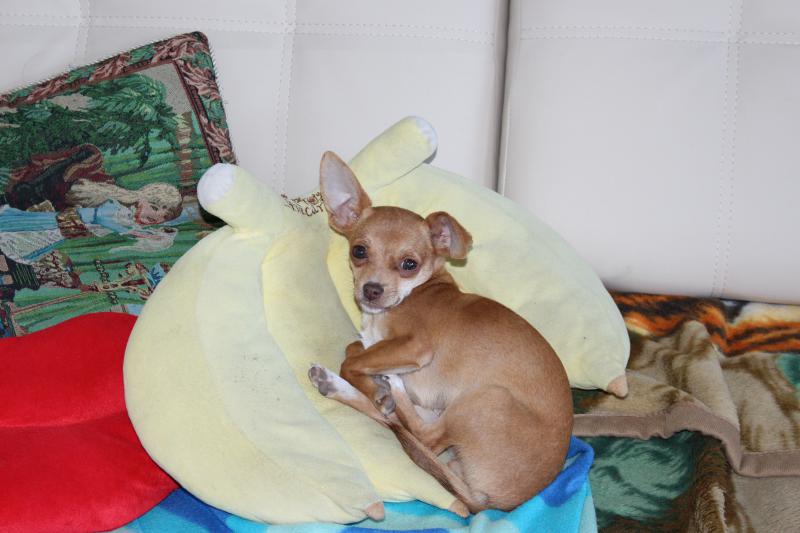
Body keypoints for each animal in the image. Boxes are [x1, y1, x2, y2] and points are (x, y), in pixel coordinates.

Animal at [308, 151, 573, 516]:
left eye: (409, 264)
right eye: (359, 251)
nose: (371, 290)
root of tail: (490, 503)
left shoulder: (416, 347)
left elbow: (353, 360)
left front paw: (377, 387)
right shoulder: (376, 343)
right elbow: (354, 348)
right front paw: (372, 382)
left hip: (485, 398)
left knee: (423, 436)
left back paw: (388, 388)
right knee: (410, 432)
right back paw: (337, 385)